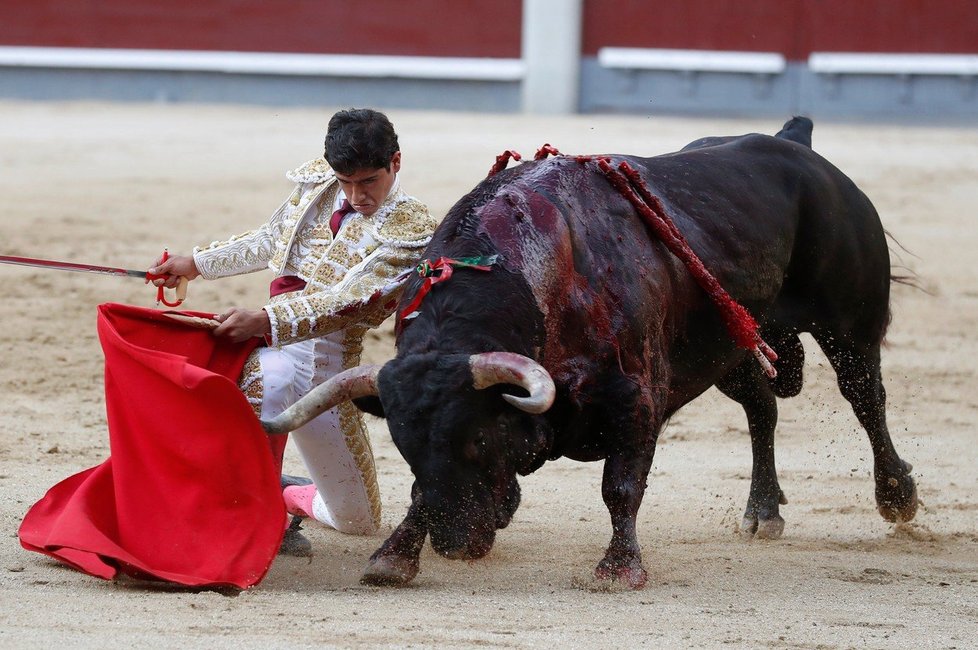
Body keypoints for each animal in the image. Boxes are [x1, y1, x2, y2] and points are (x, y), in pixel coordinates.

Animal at [262, 116, 916, 588]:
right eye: (403, 446)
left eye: (479, 441)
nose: (456, 547)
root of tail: (793, 144)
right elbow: (423, 493)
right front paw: (394, 557)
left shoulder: (636, 398)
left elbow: (620, 487)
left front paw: (619, 569)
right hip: (730, 344)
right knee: (762, 407)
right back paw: (764, 509)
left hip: (849, 323)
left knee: (865, 398)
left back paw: (898, 497)